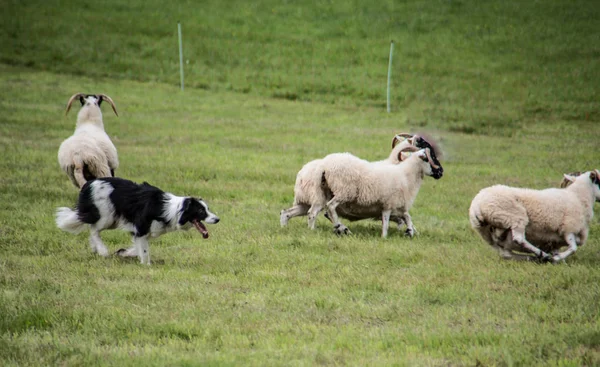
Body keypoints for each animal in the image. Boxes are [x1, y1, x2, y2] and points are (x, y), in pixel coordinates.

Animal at [55, 178, 220, 264]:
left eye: (208, 209)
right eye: (201, 211)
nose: (217, 219)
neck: (171, 209)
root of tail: (88, 183)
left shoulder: (144, 232)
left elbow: (138, 247)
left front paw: (125, 253)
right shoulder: (141, 227)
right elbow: (145, 251)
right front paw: (146, 265)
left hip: (113, 219)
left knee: (91, 229)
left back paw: (96, 249)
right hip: (107, 216)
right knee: (94, 229)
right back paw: (102, 250)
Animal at [468, 171, 600, 264]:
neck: (578, 196)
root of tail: (476, 206)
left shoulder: (557, 239)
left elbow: (562, 248)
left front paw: (558, 259)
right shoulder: (569, 228)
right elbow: (573, 248)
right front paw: (556, 258)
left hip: (487, 233)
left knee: (505, 253)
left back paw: (533, 258)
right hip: (515, 217)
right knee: (519, 239)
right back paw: (542, 255)